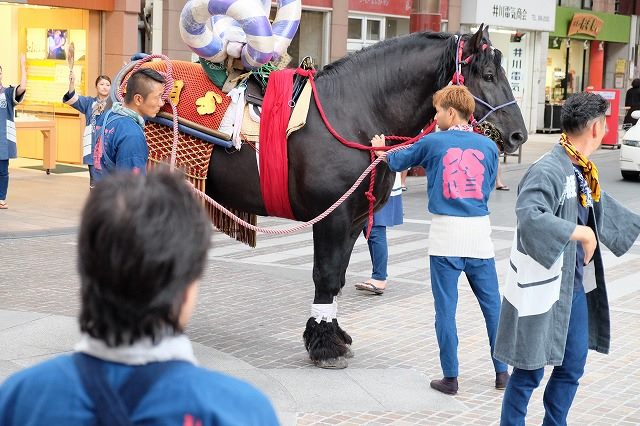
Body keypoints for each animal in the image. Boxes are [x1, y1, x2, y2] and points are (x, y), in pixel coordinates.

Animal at [203, 26, 527, 368]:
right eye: (488, 75)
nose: (519, 134)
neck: (354, 113)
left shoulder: (353, 220)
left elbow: (338, 279)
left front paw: (330, 333)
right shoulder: (332, 218)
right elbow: (326, 276)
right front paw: (325, 346)